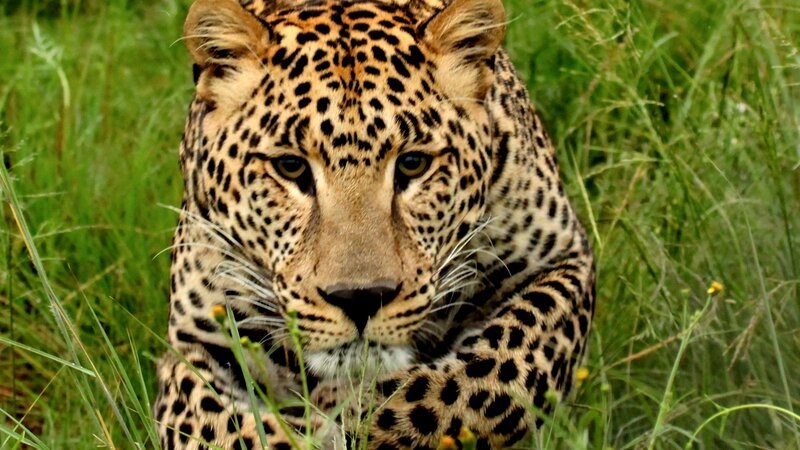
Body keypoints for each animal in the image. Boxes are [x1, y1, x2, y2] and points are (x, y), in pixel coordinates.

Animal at [153, 0, 596, 448]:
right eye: (291, 167)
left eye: (413, 163)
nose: (360, 298)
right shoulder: (197, 341)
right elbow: (217, 426)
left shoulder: (563, 259)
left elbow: (488, 371)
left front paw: (347, 417)